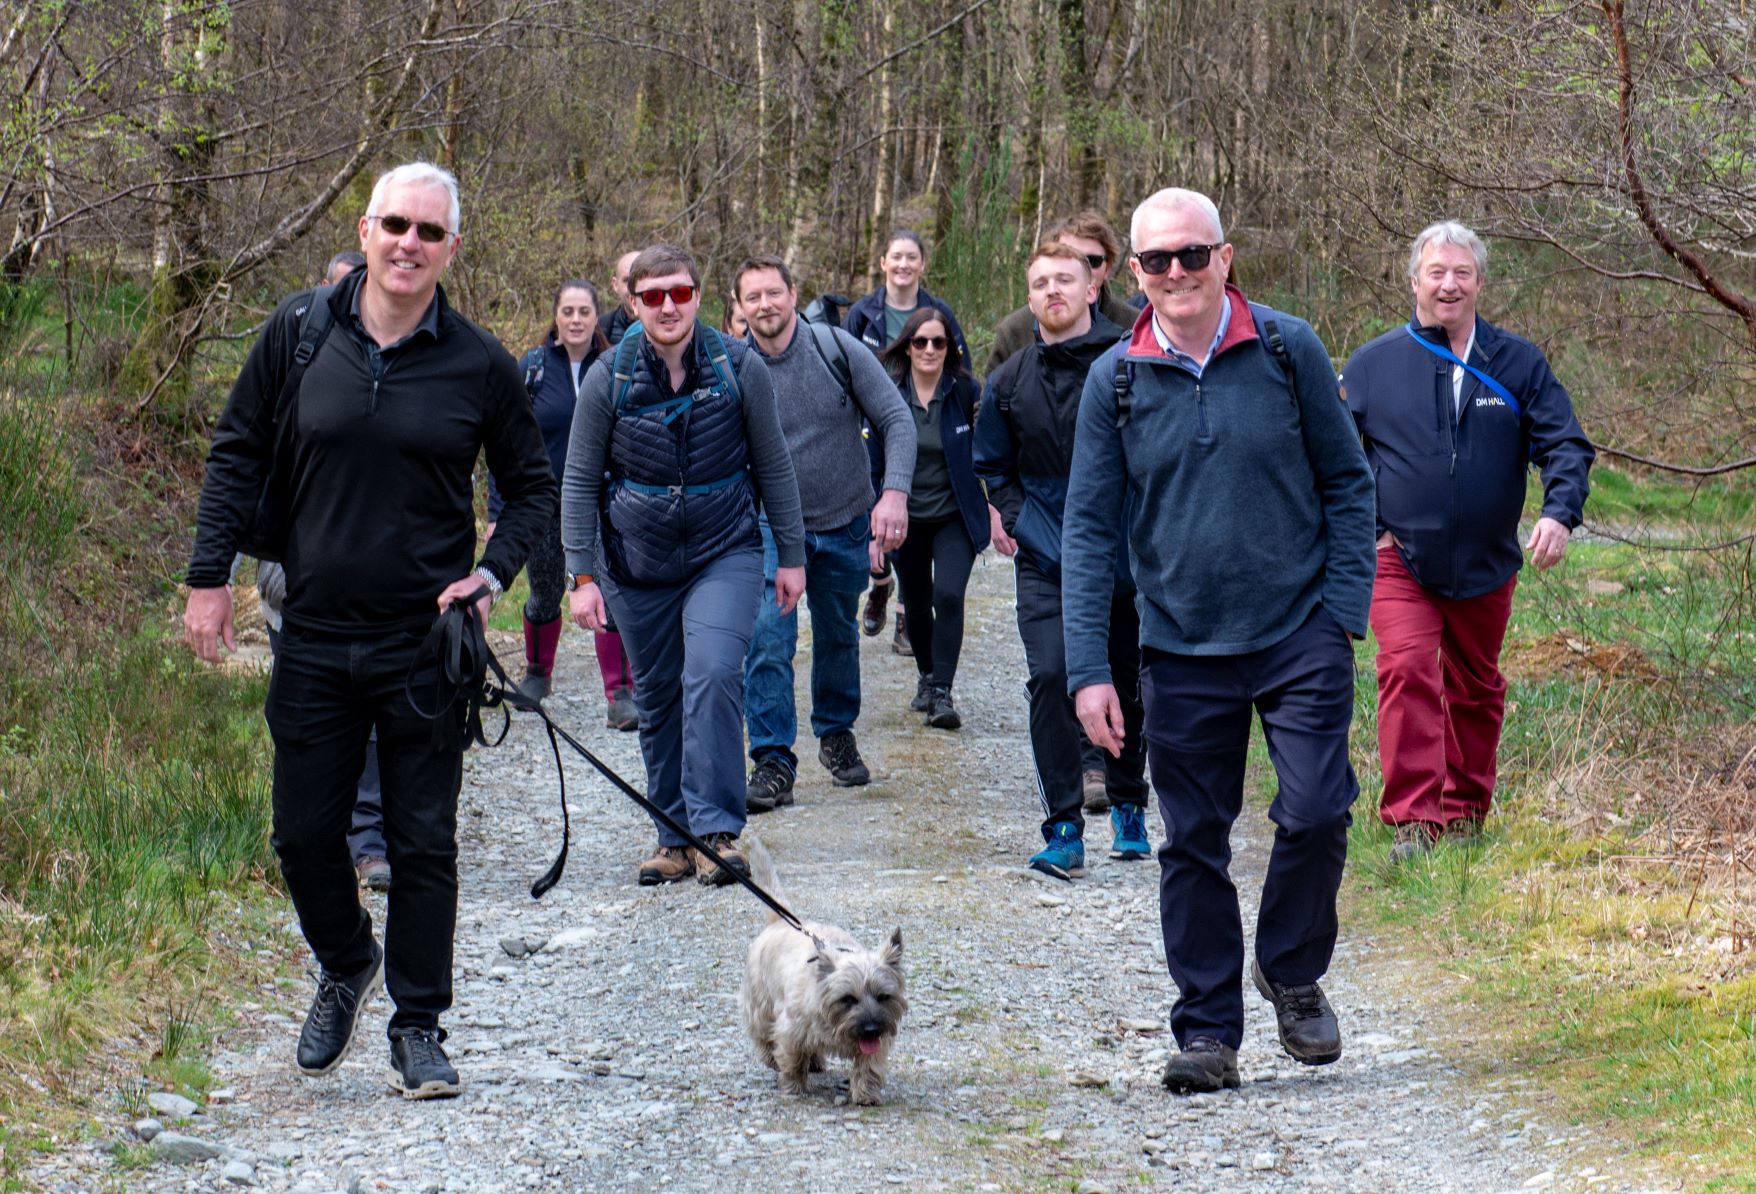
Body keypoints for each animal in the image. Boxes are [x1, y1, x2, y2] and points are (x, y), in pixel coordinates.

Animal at [737, 839, 906, 1102]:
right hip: (760, 1004)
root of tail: (778, 921)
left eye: (883, 996)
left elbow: (869, 1066)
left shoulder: (878, 1041)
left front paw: (866, 1094)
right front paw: (793, 1087)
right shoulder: (790, 1029)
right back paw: (772, 1058)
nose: (871, 1029)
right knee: (762, 1035)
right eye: (848, 999)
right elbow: (792, 1059)